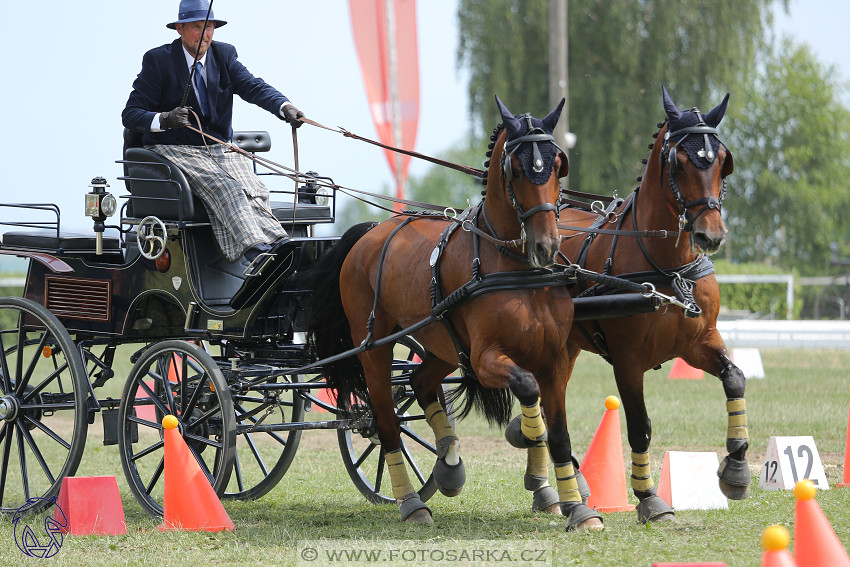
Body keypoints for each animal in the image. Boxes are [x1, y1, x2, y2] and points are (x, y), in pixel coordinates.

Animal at [304, 96, 604, 532]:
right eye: (516, 169)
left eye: (558, 164)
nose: (547, 245)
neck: (517, 268)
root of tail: (372, 231)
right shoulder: (485, 359)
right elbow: (527, 388)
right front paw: (527, 438)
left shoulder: (555, 359)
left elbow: (559, 432)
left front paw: (577, 508)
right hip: (374, 346)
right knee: (386, 422)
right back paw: (412, 503)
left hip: (440, 343)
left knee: (420, 382)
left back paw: (448, 463)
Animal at [506, 86, 744, 524]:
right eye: (679, 162)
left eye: (722, 160)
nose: (711, 234)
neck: (667, 266)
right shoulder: (628, 361)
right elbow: (639, 426)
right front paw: (650, 499)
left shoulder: (699, 342)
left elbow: (735, 378)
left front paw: (736, 470)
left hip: (564, 348)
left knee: (545, 404)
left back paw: (556, 485)